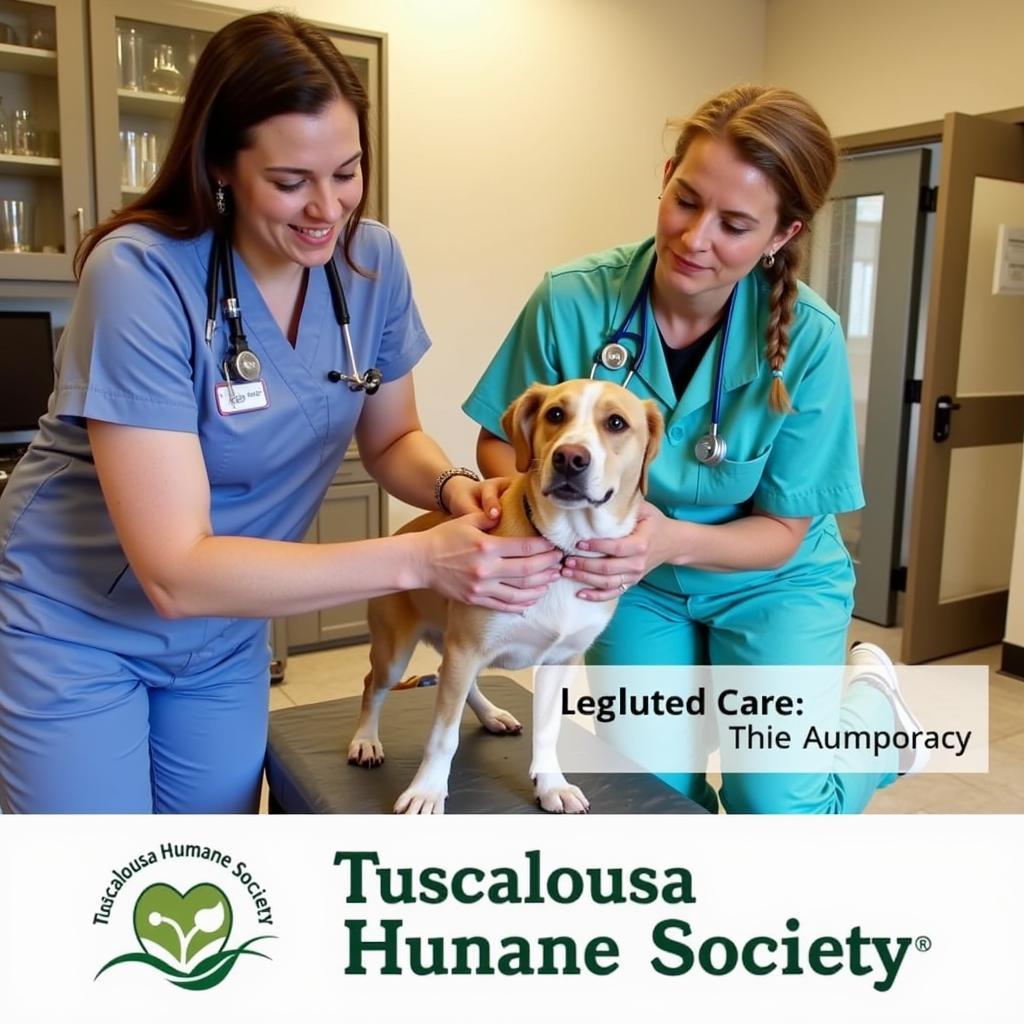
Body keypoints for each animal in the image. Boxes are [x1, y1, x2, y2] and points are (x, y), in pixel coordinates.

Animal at [344, 378, 663, 815]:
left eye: (616, 423)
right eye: (555, 414)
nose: (569, 459)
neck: (564, 547)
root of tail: (401, 535)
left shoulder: (560, 661)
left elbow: (548, 731)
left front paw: (552, 785)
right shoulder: (466, 648)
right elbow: (443, 736)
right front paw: (427, 791)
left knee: (456, 683)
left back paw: (491, 714)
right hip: (397, 653)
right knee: (372, 685)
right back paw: (365, 739)